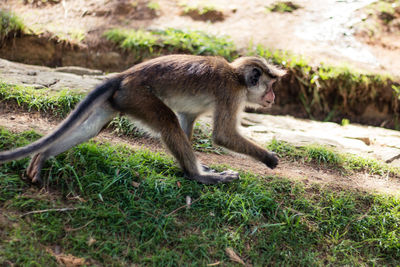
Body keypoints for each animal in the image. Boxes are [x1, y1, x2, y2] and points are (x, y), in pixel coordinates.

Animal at [0, 54, 286, 184]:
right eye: (270, 85)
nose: (273, 97)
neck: (237, 77)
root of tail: (125, 75)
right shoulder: (231, 93)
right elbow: (223, 135)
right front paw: (268, 158)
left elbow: (187, 118)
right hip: (139, 95)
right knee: (167, 121)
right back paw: (197, 176)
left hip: (122, 98)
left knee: (93, 128)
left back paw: (42, 156)